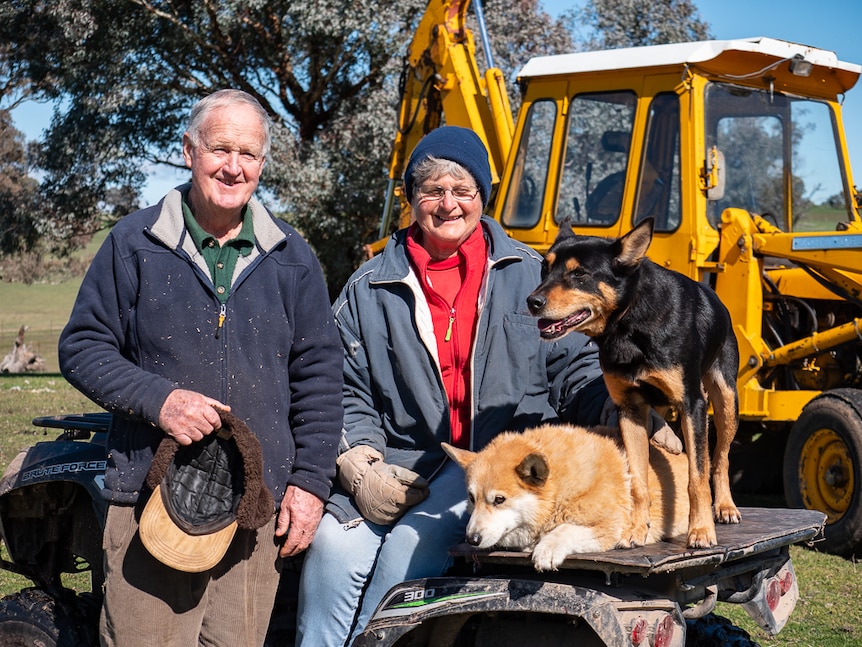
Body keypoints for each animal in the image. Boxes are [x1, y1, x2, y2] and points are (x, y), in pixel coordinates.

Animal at [448, 426, 692, 572]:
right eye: (472, 498)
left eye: (499, 499)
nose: (471, 539)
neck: (560, 488)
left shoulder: (611, 527)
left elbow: (565, 529)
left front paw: (547, 548)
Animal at [528, 220, 744, 548]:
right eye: (544, 269)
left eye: (579, 275)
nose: (532, 302)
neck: (627, 323)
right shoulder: (630, 409)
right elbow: (639, 479)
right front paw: (636, 529)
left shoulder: (692, 404)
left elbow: (697, 477)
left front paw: (701, 531)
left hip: (725, 401)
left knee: (720, 458)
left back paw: (725, 506)